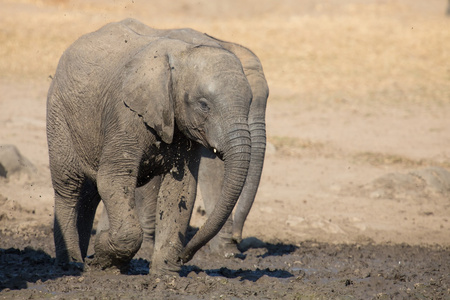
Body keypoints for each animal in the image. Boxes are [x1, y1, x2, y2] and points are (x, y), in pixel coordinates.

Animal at [46, 17, 268, 274]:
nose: (185, 257)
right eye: (204, 105)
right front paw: (103, 258)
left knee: (89, 192)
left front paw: (164, 275)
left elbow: (180, 189)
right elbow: (114, 178)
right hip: (59, 113)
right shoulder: (126, 114)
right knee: (69, 185)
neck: (182, 54)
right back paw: (71, 264)